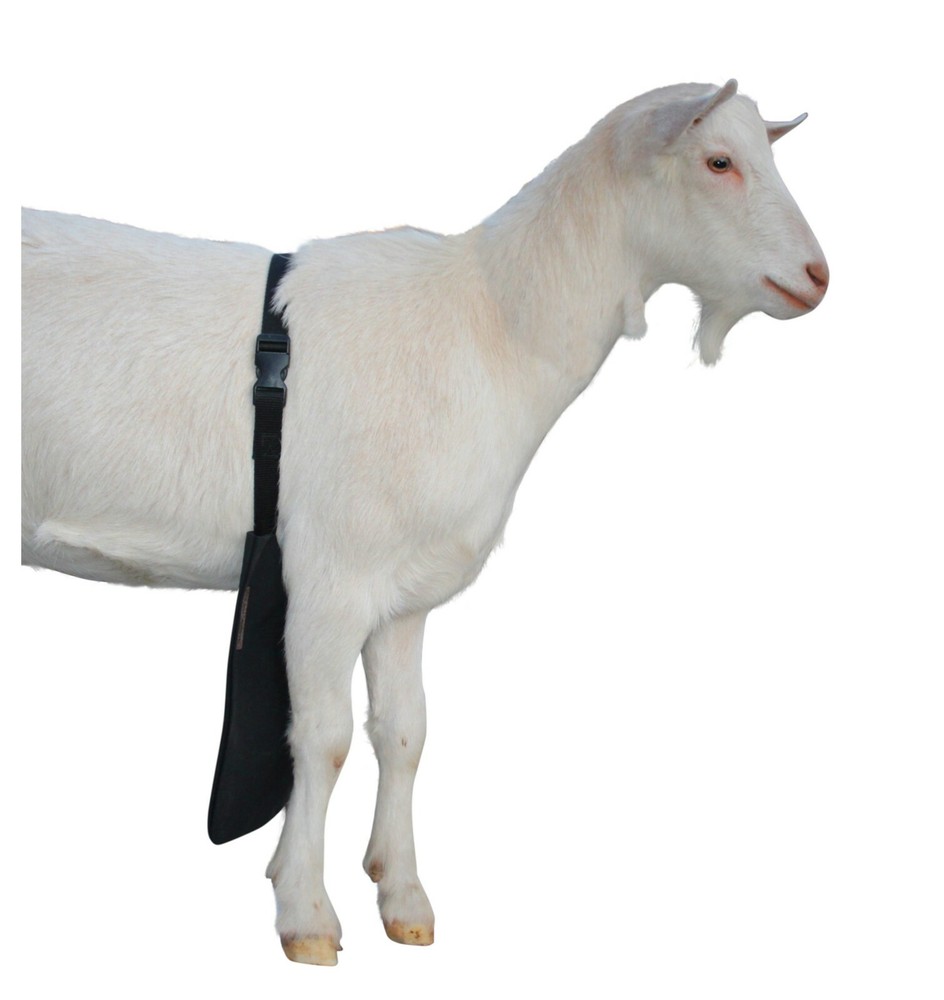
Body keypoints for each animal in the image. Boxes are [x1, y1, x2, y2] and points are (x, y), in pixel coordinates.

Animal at [20, 79, 828, 965]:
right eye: (719, 161)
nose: (817, 276)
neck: (493, 322)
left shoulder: (403, 593)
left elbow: (404, 733)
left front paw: (402, 896)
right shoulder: (330, 575)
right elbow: (324, 736)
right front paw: (306, 915)